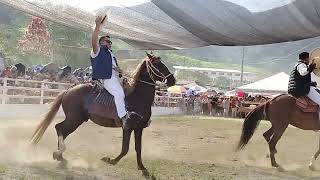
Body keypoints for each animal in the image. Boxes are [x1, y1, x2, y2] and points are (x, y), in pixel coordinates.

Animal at [30, 54, 175, 174]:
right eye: (157, 65)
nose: (172, 80)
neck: (138, 96)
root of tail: (69, 89)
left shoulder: (138, 128)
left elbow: (138, 148)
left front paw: (142, 167)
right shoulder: (127, 127)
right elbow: (125, 149)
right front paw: (110, 160)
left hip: (76, 120)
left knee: (62, 131)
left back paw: (60, 158)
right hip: (74, 119)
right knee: (59, 128)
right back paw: (59, 154)